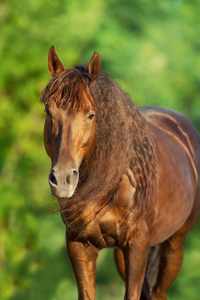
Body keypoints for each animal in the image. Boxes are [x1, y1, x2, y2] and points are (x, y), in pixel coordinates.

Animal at [40, 45, 200, 300]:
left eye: (91, 114)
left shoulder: (137, 245)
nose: (63, 179)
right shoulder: (78, 246)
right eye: (48, 111)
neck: (110, 185)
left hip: (174, 245)